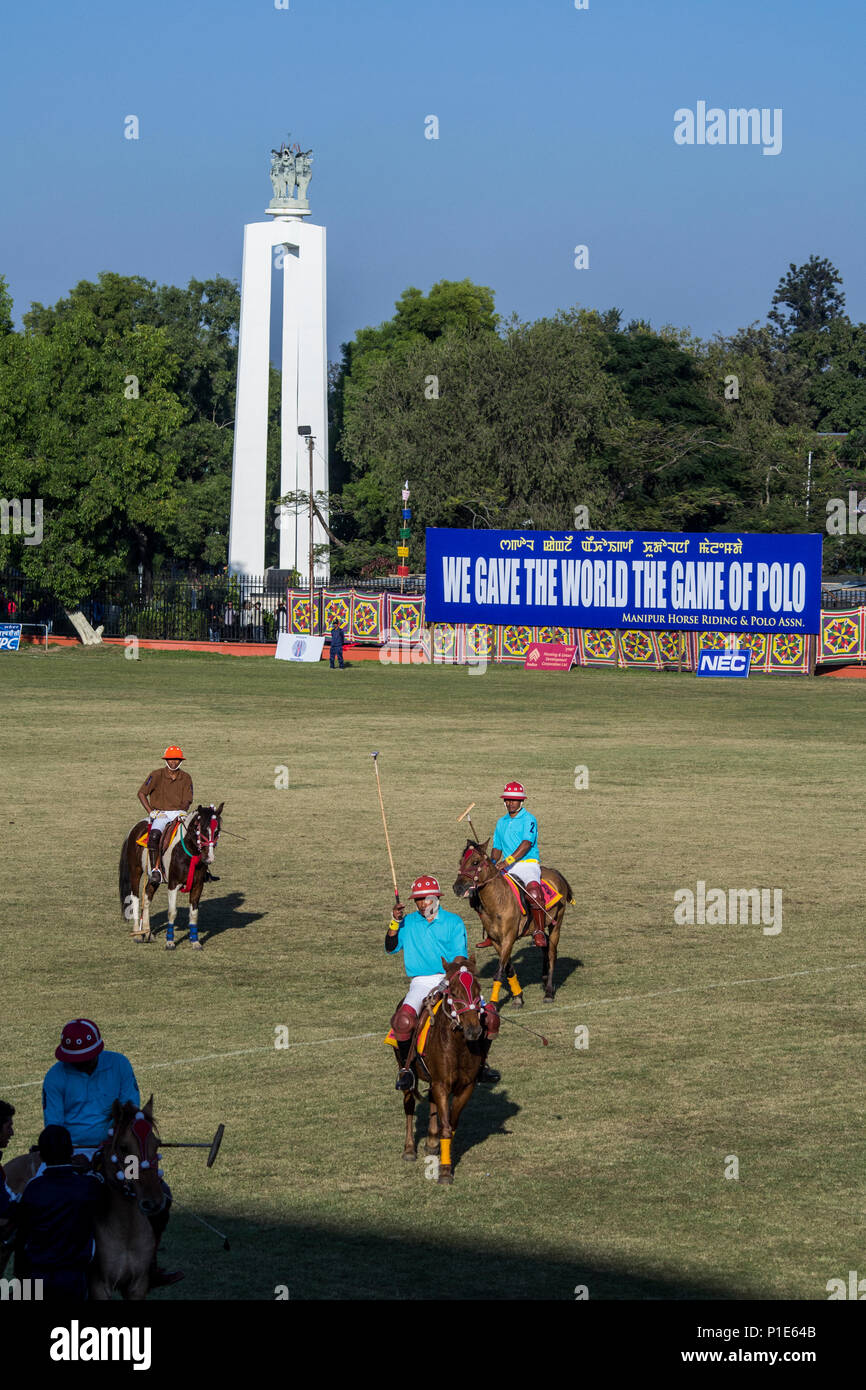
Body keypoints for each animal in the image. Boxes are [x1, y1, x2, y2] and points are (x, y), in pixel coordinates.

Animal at [0, 1095, 162, 1301]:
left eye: (156, 1144)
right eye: (124, 1147)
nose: (153, 1201)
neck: (126, 1231)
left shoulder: (137, 1287)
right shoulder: (99, 1287)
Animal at [120, 800, 225, 950]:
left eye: (217, 831)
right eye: (201, 829)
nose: (208, 858)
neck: (189, 852)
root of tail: (135, 827)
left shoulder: (198, 885)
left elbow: (194, 914)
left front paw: (195, 942)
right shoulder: (173, 884)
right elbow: (172, 912)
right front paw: (170, 942)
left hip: (153, 879)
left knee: (147, 897)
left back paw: (147, 932)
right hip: (135, 870)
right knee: (135, 897)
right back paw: (137, 934)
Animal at [397, 956, 489, 1184]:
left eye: (478, 989)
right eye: (454, 993)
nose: (474, 1030)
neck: (458, 1045)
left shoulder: (466, 1086)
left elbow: (451, 1125)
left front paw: (443, 1156)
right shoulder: (442, 1084)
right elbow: (446, 1127)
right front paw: (445, 1172)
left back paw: (431, 1142)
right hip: (406, 1070)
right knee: (409, 1103)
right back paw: (409, 1149)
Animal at [453, 839, 575, 1006]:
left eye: (475, 862)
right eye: (460, 861)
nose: (457, 887)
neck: (497, 900)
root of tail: (555, 872)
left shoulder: (508, 938)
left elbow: (498, 972)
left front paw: (493, 1003)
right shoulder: (497, 941)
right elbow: (508, 969)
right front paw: (518, 997)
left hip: (556, 923)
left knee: (551, 953)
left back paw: (549, 992)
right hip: (538, 928)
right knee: (544, 944)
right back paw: (543, 979)